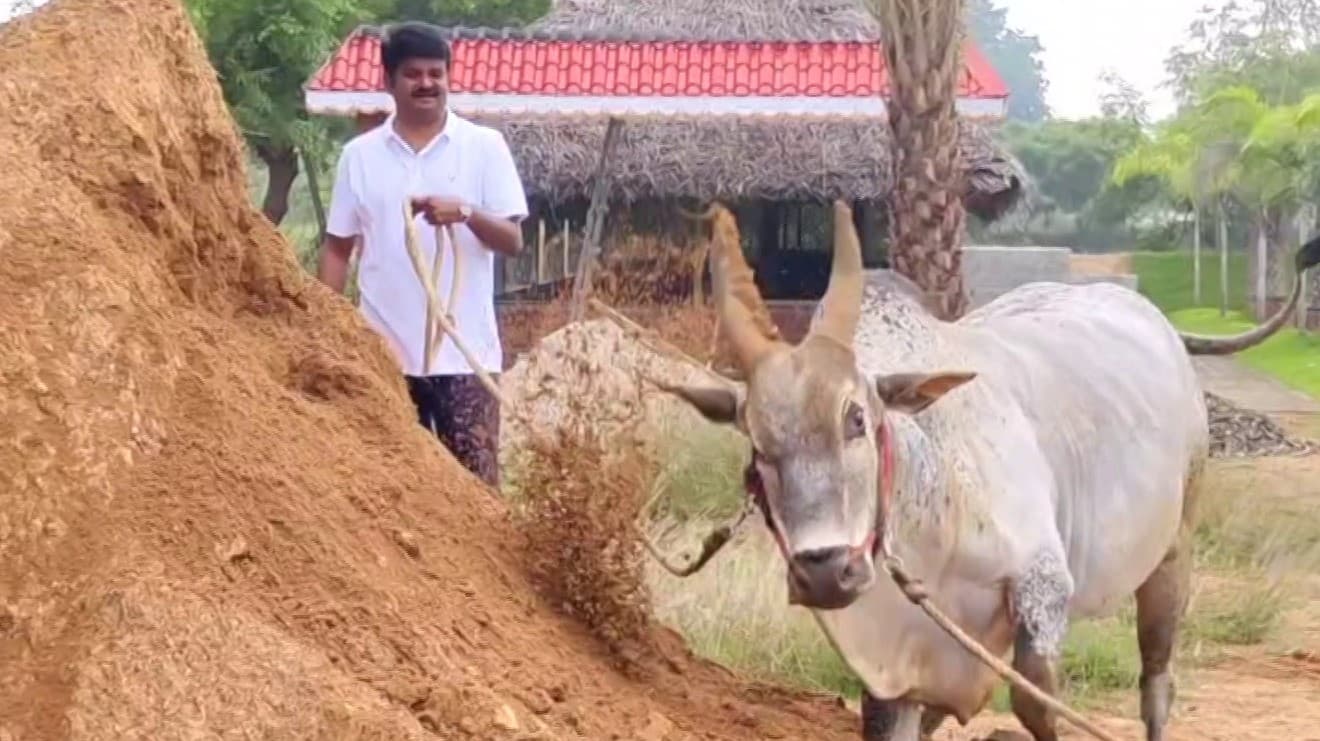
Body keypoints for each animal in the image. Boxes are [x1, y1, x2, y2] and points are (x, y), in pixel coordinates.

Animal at [652, 198, 1320, 739]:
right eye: (757, 447)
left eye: (857, 419)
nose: (824, 570)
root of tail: (1138, 305)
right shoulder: (905, 662)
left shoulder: (1041, 586)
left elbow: (1037, 708)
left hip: (1173, 550)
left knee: (1157, 683)